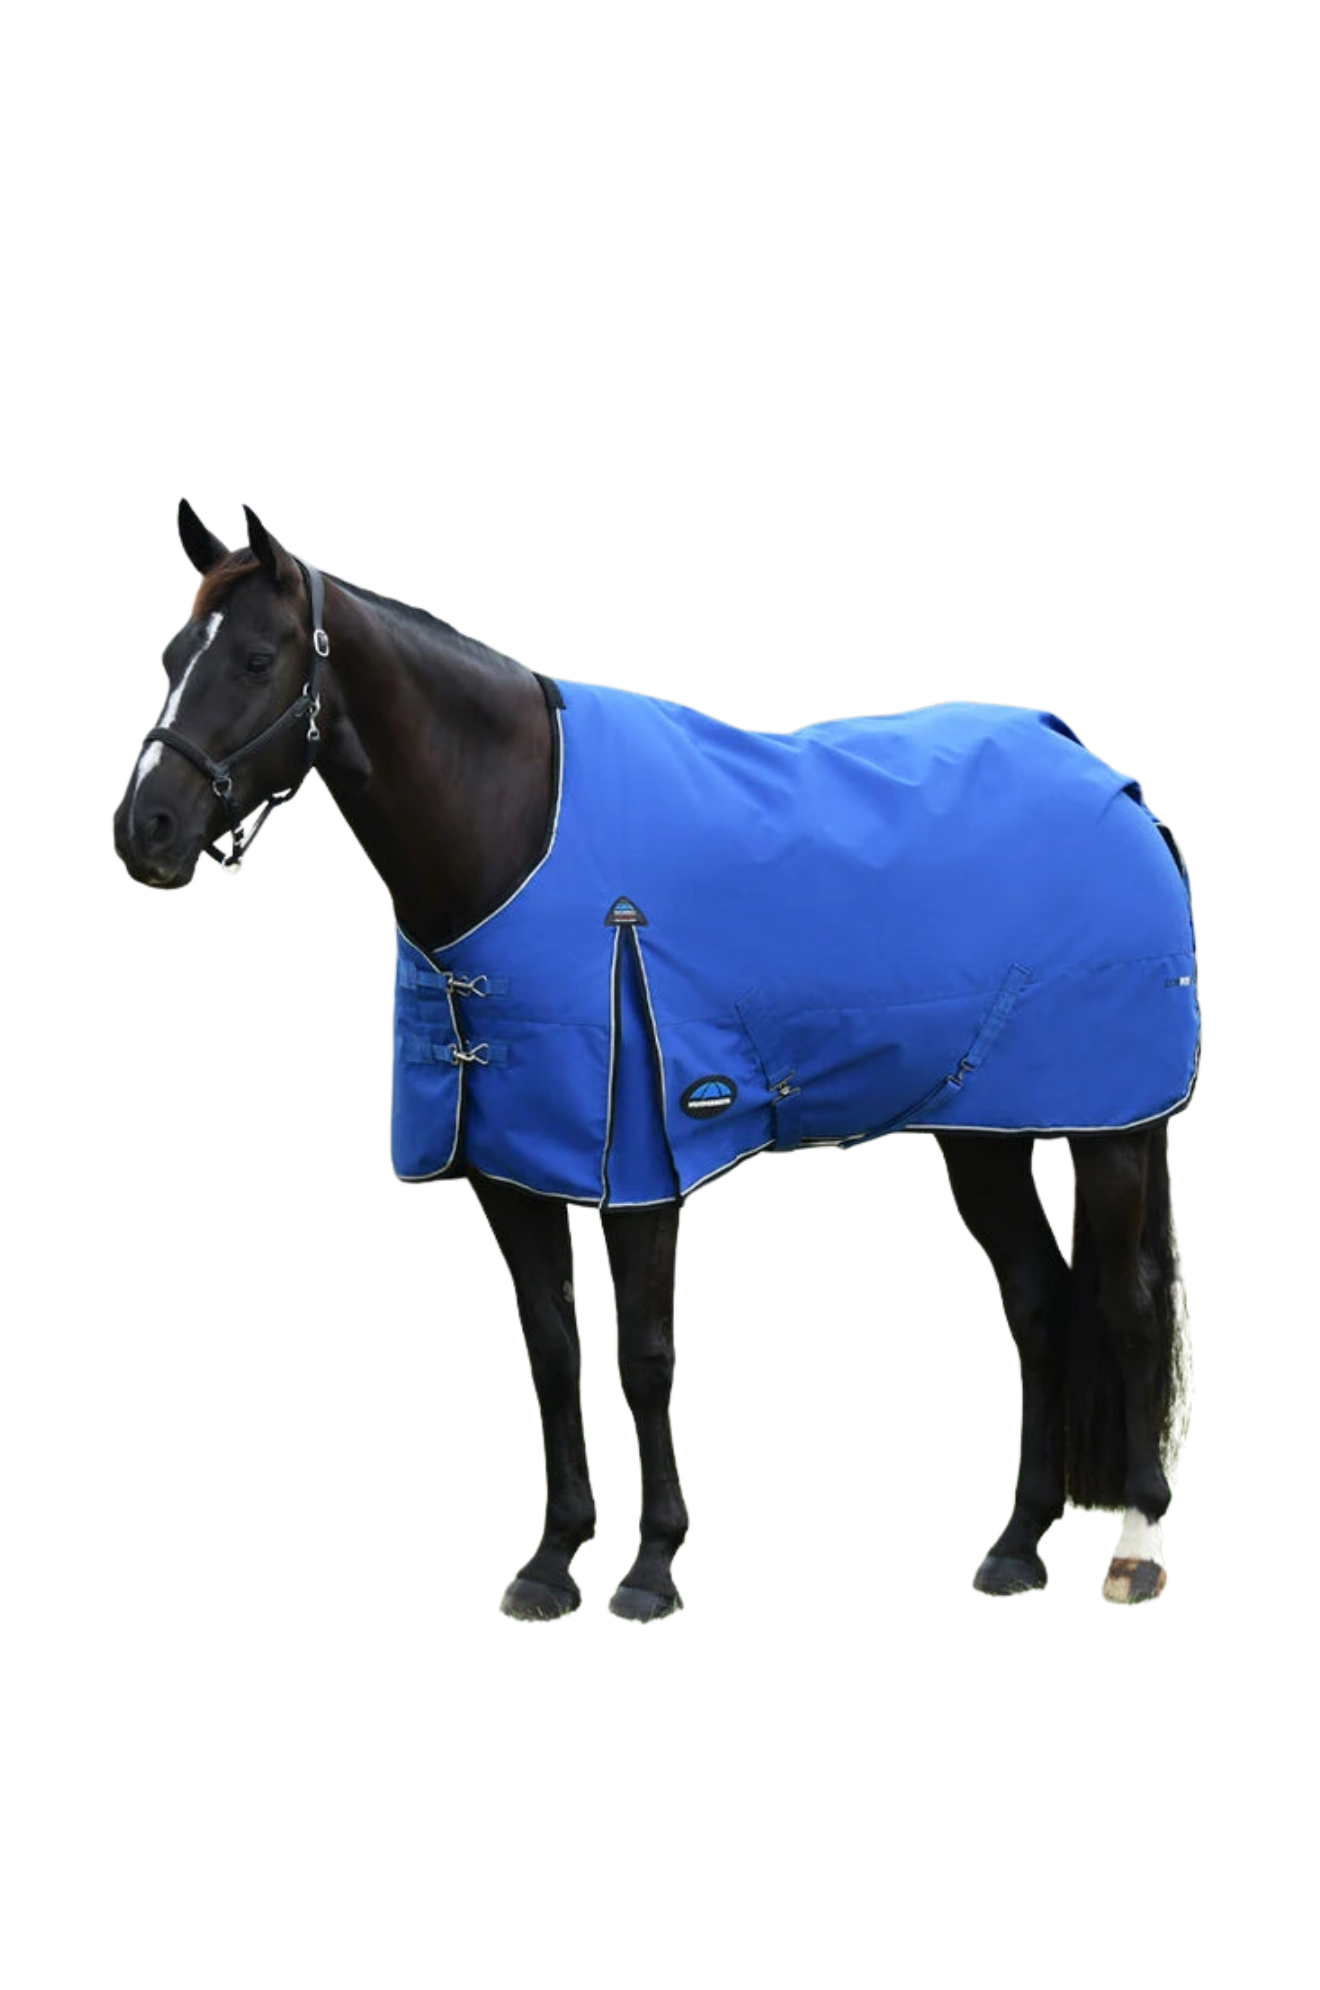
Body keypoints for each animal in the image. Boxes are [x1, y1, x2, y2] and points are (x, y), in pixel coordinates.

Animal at [111, 499, 1198, 1621]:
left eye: (255, 658)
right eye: (171, 656)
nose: (145, 830)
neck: (519, 830)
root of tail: (1110, 781)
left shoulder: (642, 1160)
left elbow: (643, 1357)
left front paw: (649, 1566)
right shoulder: (508, 1169)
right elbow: (553, 1354)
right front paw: (552, 1560)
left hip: (1113, 1131)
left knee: (1130, 1305)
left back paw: (1137, 1545)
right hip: (981, 1129)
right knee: (1038, 1302)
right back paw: (1018, 1545)